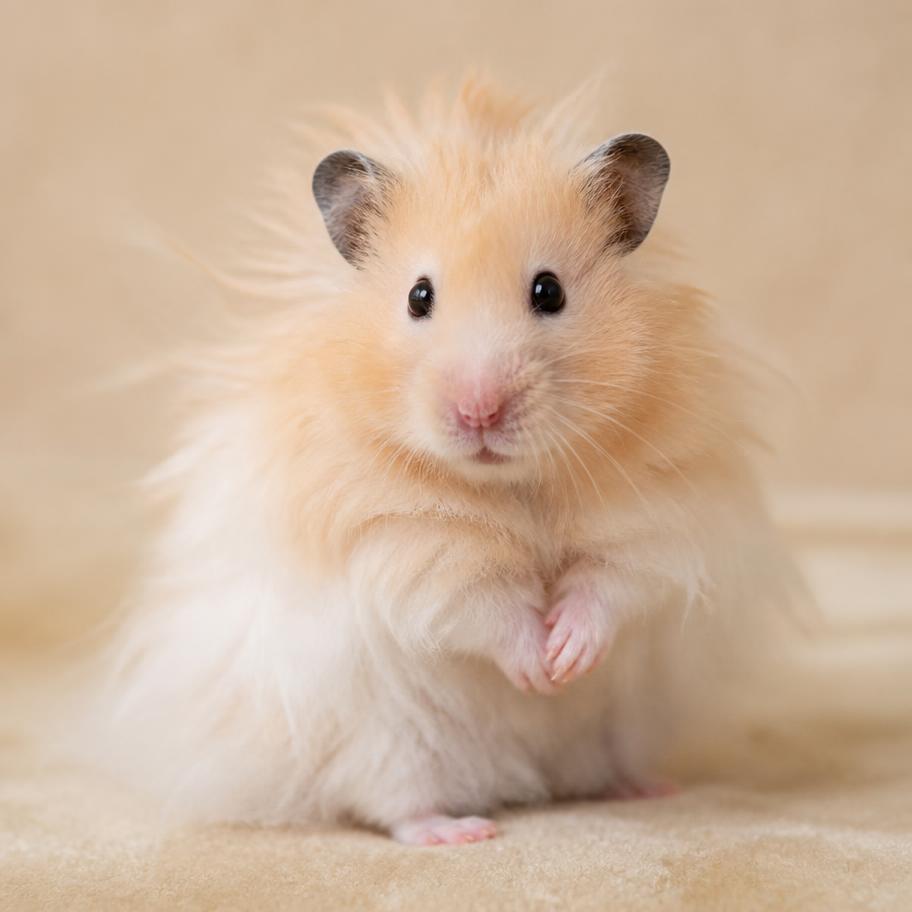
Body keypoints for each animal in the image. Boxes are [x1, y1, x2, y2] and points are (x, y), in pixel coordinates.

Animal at [97, 77, 797, 845]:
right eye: (418, 296)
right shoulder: (403, 544)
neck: (514, 483)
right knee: (388, 802)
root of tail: (524, 775)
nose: (479, 412)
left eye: (549, 290)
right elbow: (481, 604)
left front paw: (566, 658)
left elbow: (612, 583)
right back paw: (459, 831)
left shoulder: (662, 513)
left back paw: (644, 787)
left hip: (623, 722)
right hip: (384, 739)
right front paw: (538, 670)